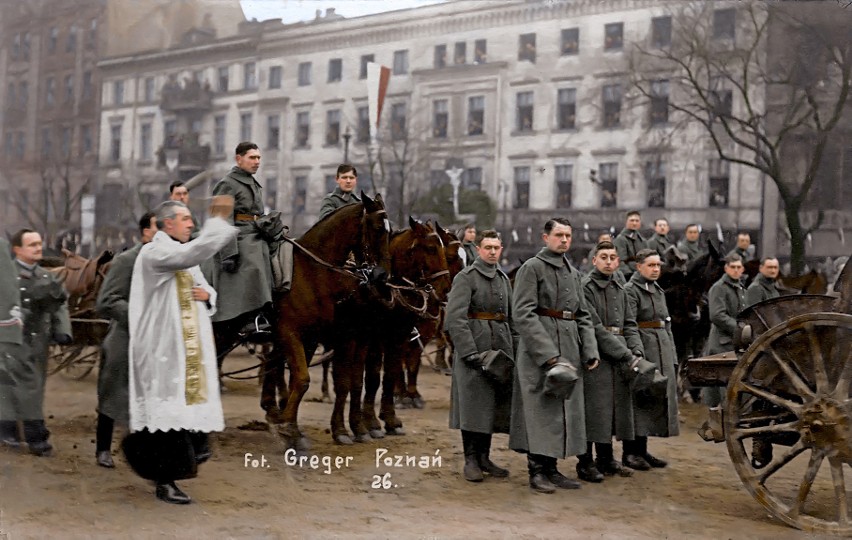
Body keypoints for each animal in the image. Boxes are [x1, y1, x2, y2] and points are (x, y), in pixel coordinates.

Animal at [260, 192, 392, 450]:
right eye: (378, 228)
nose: (383, 277)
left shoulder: (328, 337)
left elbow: (344, 381)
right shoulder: (292, 333)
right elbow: (304, 379)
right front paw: (290, 429)